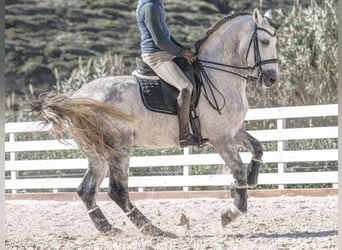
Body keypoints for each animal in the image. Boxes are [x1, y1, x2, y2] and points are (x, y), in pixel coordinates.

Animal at [32, 9, 278, 236]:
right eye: (265, 42)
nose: (272, 79)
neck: (218, 74)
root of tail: (75, 98)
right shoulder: (221, 138)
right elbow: (238, 170)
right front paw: (231, 212)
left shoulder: (232, 131)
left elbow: (258, 148)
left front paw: (251, 179)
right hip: (119, 149)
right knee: (118, 191)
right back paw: (152, 229)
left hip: (97, 153)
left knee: (87, 191)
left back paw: (109, 230)